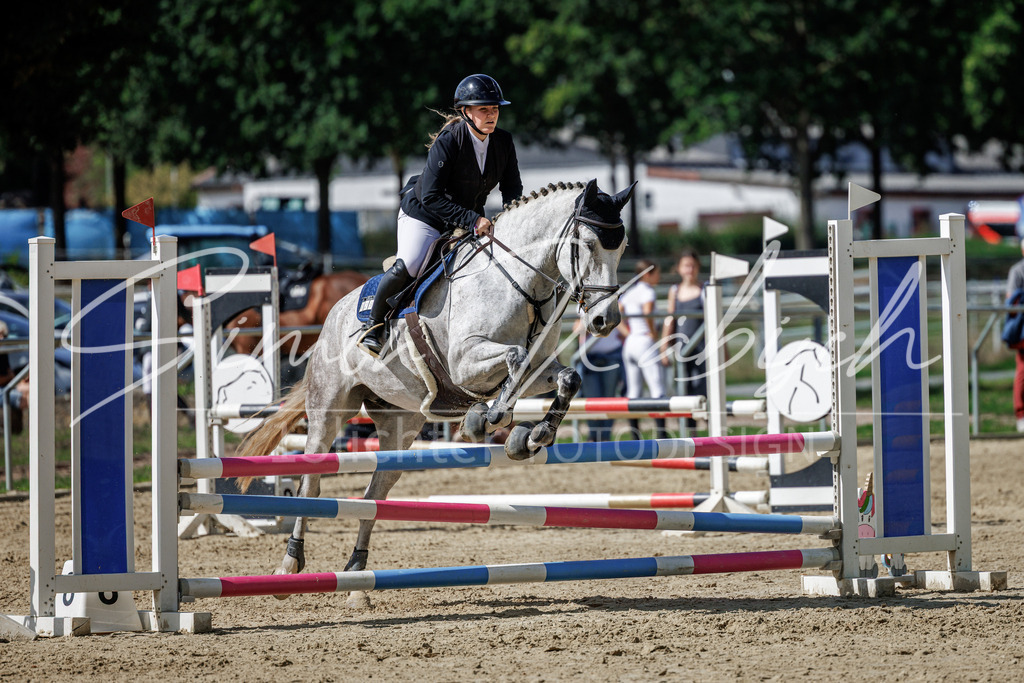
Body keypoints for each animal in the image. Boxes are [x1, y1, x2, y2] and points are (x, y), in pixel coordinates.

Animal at [236, 179, 634, 604]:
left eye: (622, 247)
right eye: (588, 244)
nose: (604, 320)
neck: (522, 283)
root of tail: (336, 312)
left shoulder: (540, 368)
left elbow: (567, 378)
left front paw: (534, 435)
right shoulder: (464, 361)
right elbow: (514, 358)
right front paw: (487, 420)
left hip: (400, 423)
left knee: (375, 493)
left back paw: (357, 578)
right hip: (329, 409)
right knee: (311, 482)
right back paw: (289, 565)